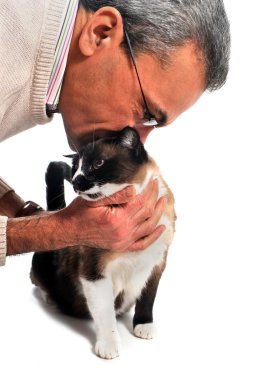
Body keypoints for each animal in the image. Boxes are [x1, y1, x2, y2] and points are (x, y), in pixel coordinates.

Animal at [30, 127, 176, 360]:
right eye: (76, 168)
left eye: (98, 163)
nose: (76, 181)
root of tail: (53, 212)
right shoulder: (95, 274)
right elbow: (105, 313)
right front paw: (109, 345)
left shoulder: (156, 264)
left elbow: (147, 298)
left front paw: (143, 326)